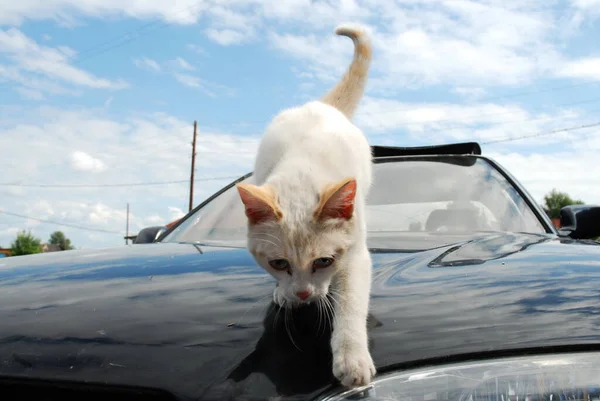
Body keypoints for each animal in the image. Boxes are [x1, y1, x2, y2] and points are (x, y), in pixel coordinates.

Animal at [236, 23, 372, 386]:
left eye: (324, 261)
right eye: (278, 263)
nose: (302, 295)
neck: (303, 169)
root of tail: (320, 105)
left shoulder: (356, 253)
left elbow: (351, 301)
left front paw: (352, 357)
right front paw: (283, 293)